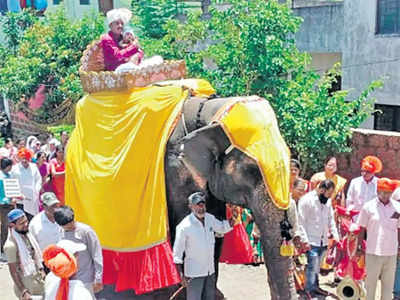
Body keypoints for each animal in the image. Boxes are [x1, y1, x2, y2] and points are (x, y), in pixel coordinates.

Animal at [97, 95, 296, 298]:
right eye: (252, 170)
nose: (287, 229)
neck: (209, 112)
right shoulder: (176, 170)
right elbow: (180, 228)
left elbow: (216, 230)